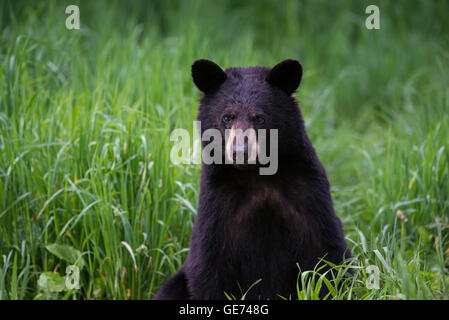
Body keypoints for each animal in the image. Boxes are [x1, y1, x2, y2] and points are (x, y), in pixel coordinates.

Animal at [154, 58, 350, 300]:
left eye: (260, 118)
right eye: (227, 116)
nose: (241, 151)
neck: (257, 174)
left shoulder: (307, 190)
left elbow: (325, 254)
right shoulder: (218, 199)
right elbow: (210, 263)